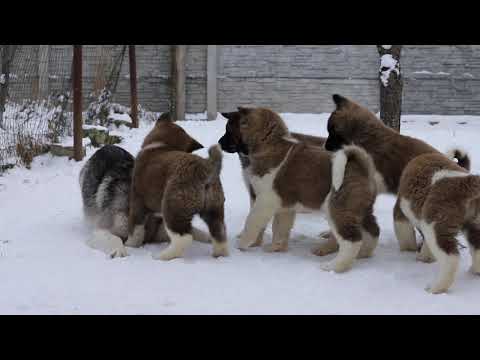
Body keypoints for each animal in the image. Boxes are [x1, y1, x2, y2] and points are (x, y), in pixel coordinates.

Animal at [124, 114, 228, 260]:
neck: (162, 145)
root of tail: (205, 169)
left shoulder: (137, 202)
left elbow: (135, 229)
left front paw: (129, 245)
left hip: (173, 208)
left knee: (183, 238)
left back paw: (163, 256)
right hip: (214, 210)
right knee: (220, 233)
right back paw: (219, 255)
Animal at [235, 107, 378, 272]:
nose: (221, 142)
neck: (270, 145)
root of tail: (362, 168)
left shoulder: (265, 200)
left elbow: (251, 222)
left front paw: (242, 244)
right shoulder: (284, 205)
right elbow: (280, 227)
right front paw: (275, 248)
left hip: (339, 209)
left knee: (352, 241)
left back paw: (333, 266)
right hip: (362, 210)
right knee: (373, 232)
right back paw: (363, 254)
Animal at [398, 153, 480, 294]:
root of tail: (465, 181)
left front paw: (420, 257)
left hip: (435, 225)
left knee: (451, 259)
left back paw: (435, 288)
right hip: (473, 223)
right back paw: (474, 272)